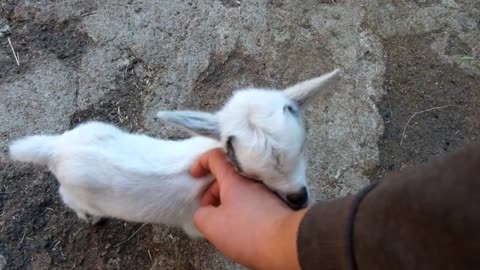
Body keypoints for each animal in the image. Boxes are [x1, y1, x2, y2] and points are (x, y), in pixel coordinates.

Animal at [10, 68, 342, 237]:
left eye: (302, 148)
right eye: (248, 174)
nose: (298, 199)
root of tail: (56, 147)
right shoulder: (196, 224)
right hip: (76, 193)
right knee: (67, 199)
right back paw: (90, 219)